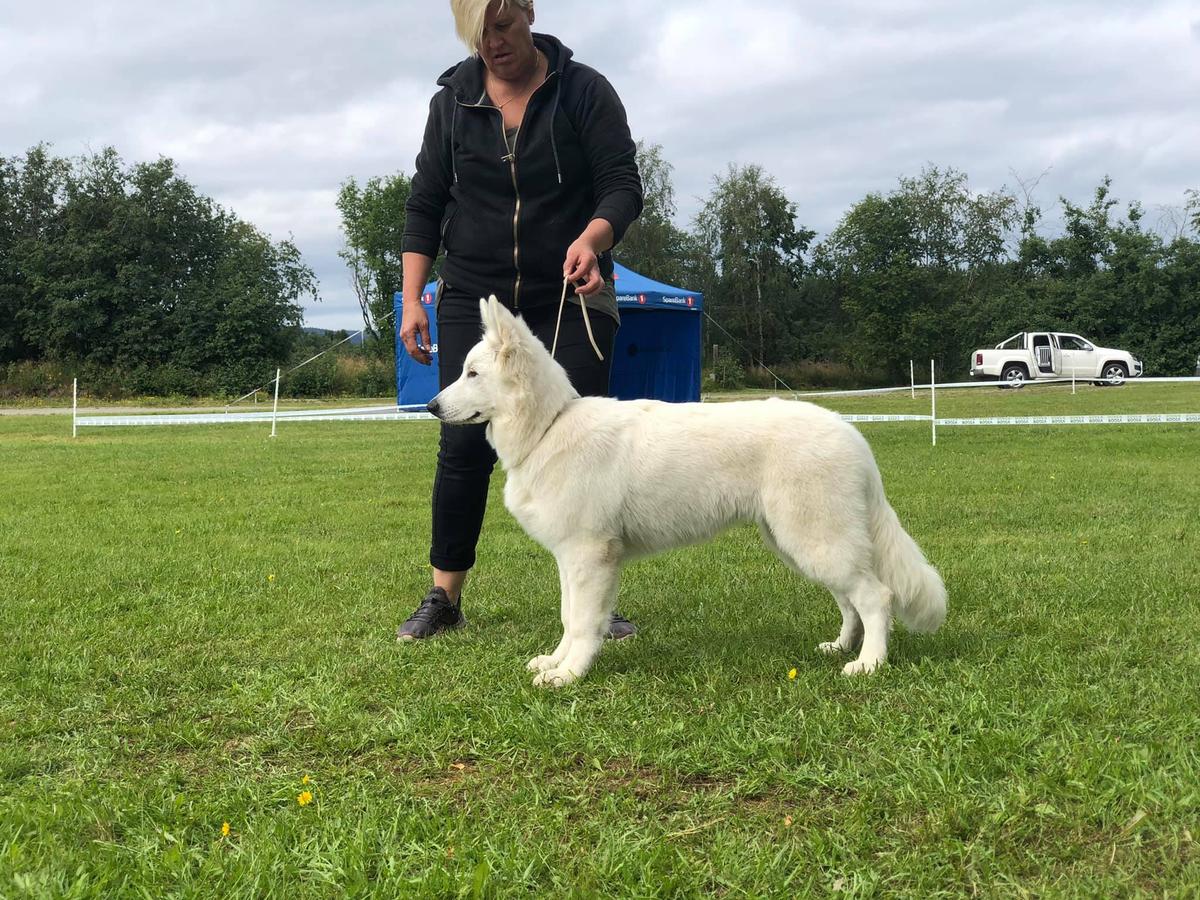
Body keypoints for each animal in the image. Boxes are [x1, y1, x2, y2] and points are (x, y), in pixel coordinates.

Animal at [429, 300, 945, 686]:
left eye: (472, 374)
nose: (432, 406)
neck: (548, 426)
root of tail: (851, 433)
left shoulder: (588, 556)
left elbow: (582, 621)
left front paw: (570, 674)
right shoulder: (570, 559)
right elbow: (567, 616)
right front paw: (557, 662)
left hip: (815, 539)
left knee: (875, 596)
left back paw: (869, 663)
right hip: (803, 542)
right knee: (849, 599)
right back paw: (840, 646)